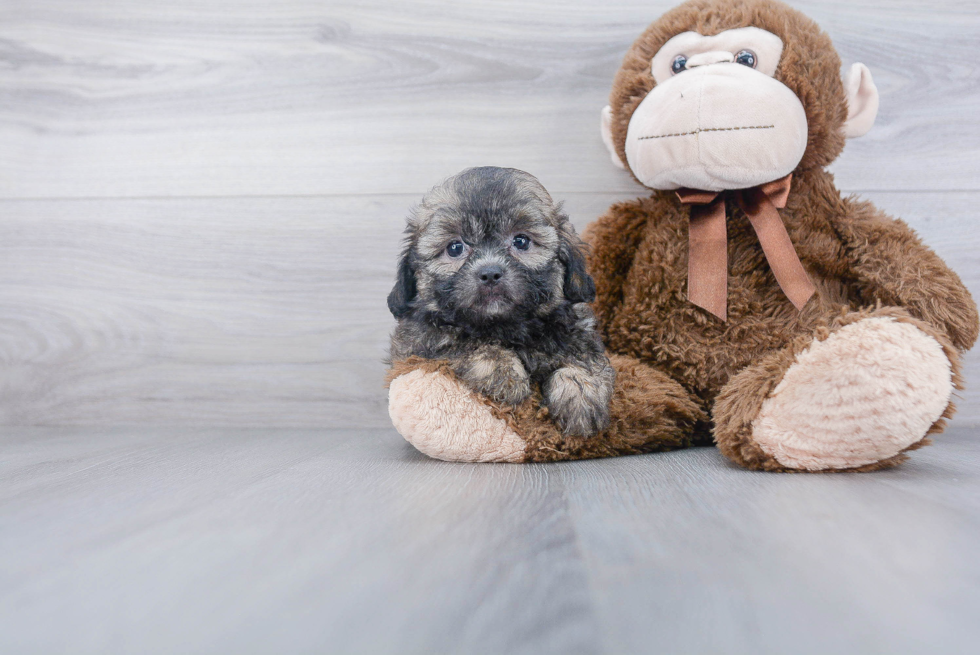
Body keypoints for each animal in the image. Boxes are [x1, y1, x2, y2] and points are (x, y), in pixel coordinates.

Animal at [388, 167, 612, 438]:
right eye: (455, 248)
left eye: (521, 241)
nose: (490, 273)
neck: (507, 326)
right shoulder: (417, 344)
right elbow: (463, 341)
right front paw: (503, 372)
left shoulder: (579, 328)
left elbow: (584, 356)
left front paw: (581, 391)